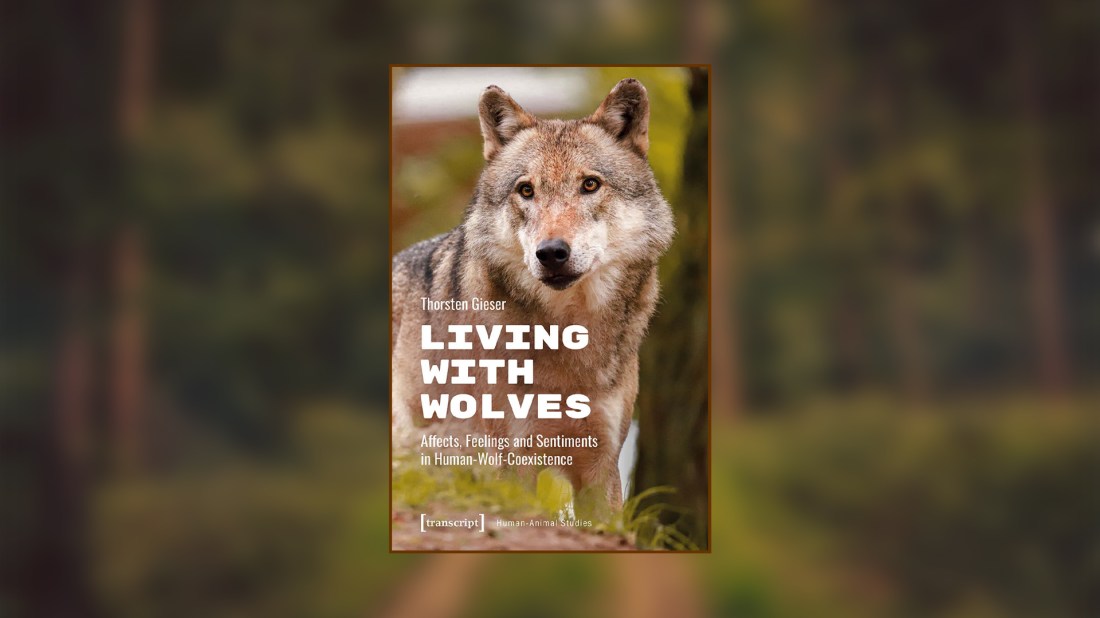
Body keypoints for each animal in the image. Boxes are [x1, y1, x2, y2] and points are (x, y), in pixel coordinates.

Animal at [392, 78, 674, 509]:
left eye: (590, 184)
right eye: (526, 190)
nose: (551, 253)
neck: (567, 336)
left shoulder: (601, 467)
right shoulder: (512, 464)